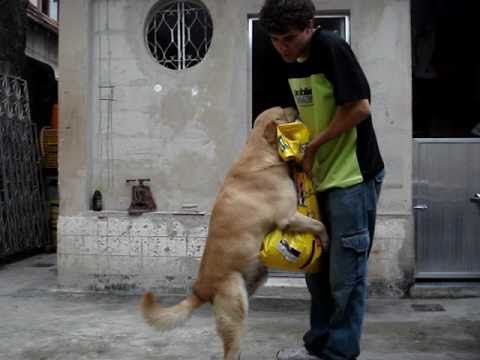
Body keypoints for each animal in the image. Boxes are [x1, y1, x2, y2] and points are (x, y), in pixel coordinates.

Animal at [139, 107, 326, 360]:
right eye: (282, 112)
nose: (295, 107)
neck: (259, 150)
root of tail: (201, 291)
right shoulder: (288, 216)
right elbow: (319, 225)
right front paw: (326, 239)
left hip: (253, 282)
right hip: (236, 301)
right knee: (230, 350)